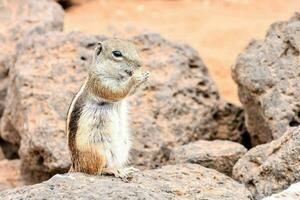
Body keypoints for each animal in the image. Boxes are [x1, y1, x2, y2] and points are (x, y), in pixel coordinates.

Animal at [66, 39, 149, 180]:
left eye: (134, 47)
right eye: (117, 53)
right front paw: (135, 78)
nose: (140, 64)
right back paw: (114, 170)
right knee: (95, 170)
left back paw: (125, 169)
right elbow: (117, 92)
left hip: (125, 145)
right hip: (97, 152)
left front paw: (145, 75)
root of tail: (76, 165)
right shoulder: (99, 83)